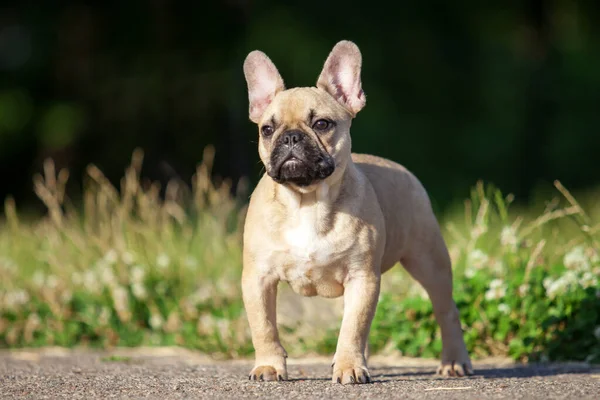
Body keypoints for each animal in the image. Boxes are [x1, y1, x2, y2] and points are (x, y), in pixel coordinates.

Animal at [241, 40, 472, 384]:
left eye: (322, 124)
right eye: (267, 129)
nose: (291, 136)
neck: (307, 202)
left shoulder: (362, 277)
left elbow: (353, 327)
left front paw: (349, 366)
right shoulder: (258, 278)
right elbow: (264, 327)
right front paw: (269, 366)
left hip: (429, 260)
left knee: (446, 310)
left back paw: (454, 361)